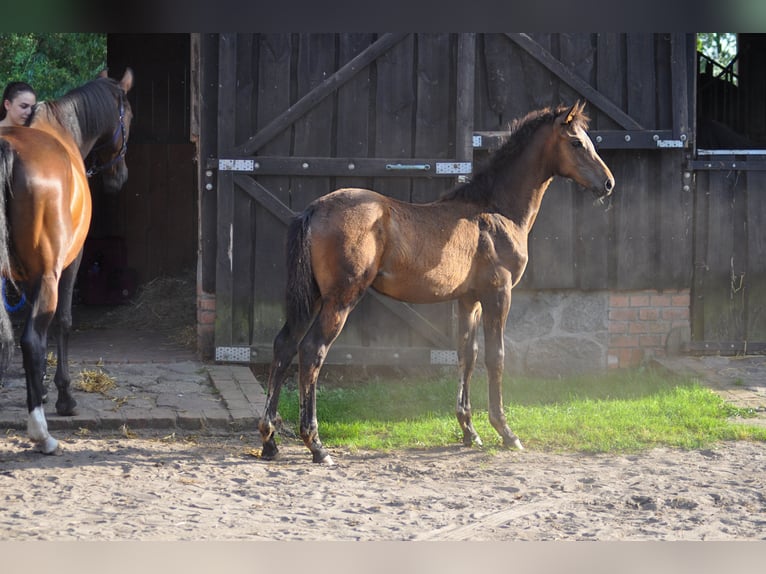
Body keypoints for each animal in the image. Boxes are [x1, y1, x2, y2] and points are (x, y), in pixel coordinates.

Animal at [0, 68, 134, 454]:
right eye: (129, 118)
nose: (120, 178)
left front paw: (42, 388)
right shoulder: (68, 264)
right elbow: (61, 322)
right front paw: (63, 396)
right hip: (50, 273)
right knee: (31, 339)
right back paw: (41, 432)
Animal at [260, 101, 616, 466]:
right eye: (576, 142)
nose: (607, 183)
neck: (494, 211)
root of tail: (314, 209)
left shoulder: (468, 299)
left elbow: (467, 354)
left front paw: (470, 431)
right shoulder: (498, 294)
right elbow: (496, 356)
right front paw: (506, 432)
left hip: (314, 298)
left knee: (284, 345)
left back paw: (270, 440)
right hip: (341, 299)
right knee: (312, 351)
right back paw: (316, 445)